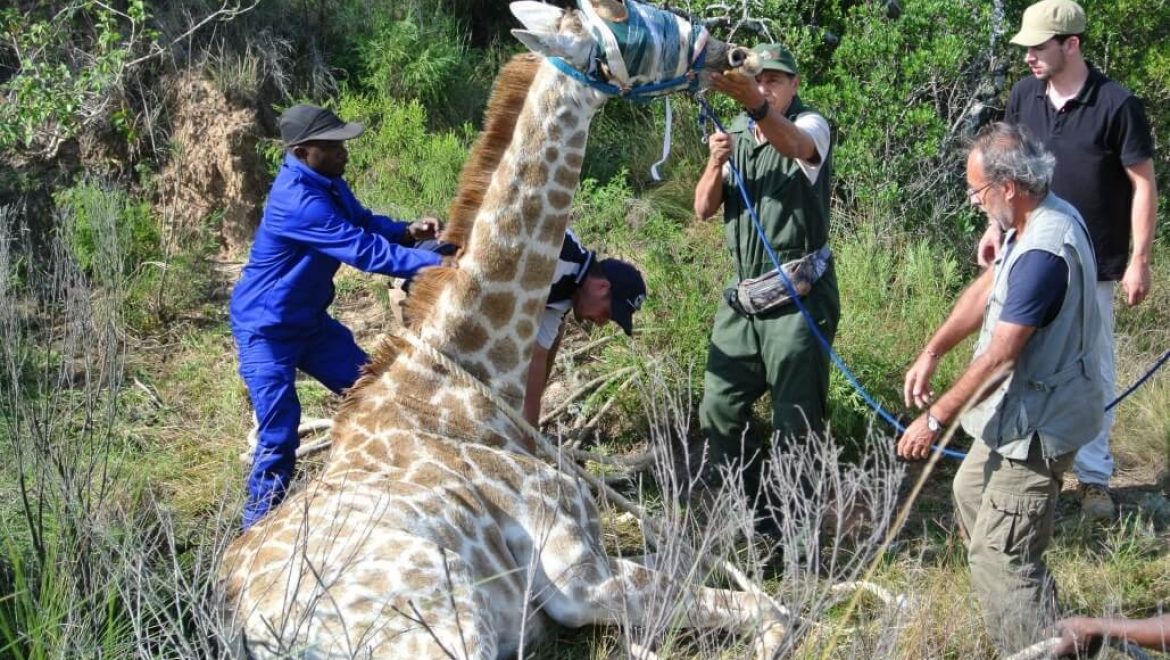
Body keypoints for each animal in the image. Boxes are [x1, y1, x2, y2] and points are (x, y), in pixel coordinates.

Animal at [219, 2, 786, 655]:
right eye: (624, 19)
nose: (733, 54)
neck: (473, 383)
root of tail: (248, 621)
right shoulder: (579, 577)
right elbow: (773, 612)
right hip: (445, 619)